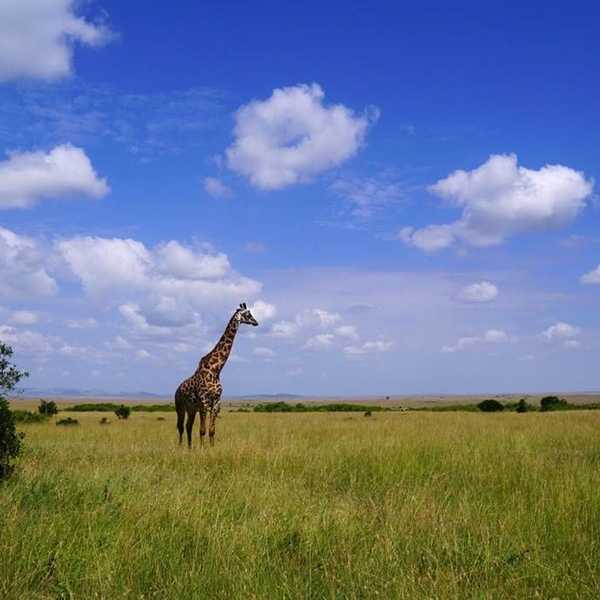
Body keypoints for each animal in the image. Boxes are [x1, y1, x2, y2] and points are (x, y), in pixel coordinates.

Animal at [173, 304, 258, 446]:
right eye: (247, 314)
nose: (256, 322)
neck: (215, 370)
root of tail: (177, 389)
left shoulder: (216, 403)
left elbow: (212, 430)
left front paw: (211, 448)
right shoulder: (204, 402)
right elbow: (202, 430)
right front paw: (202, 448)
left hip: (191, 408)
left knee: (188, 426)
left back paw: (189, 447)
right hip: (180, 406)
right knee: (180, 426)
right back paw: (180, 447)